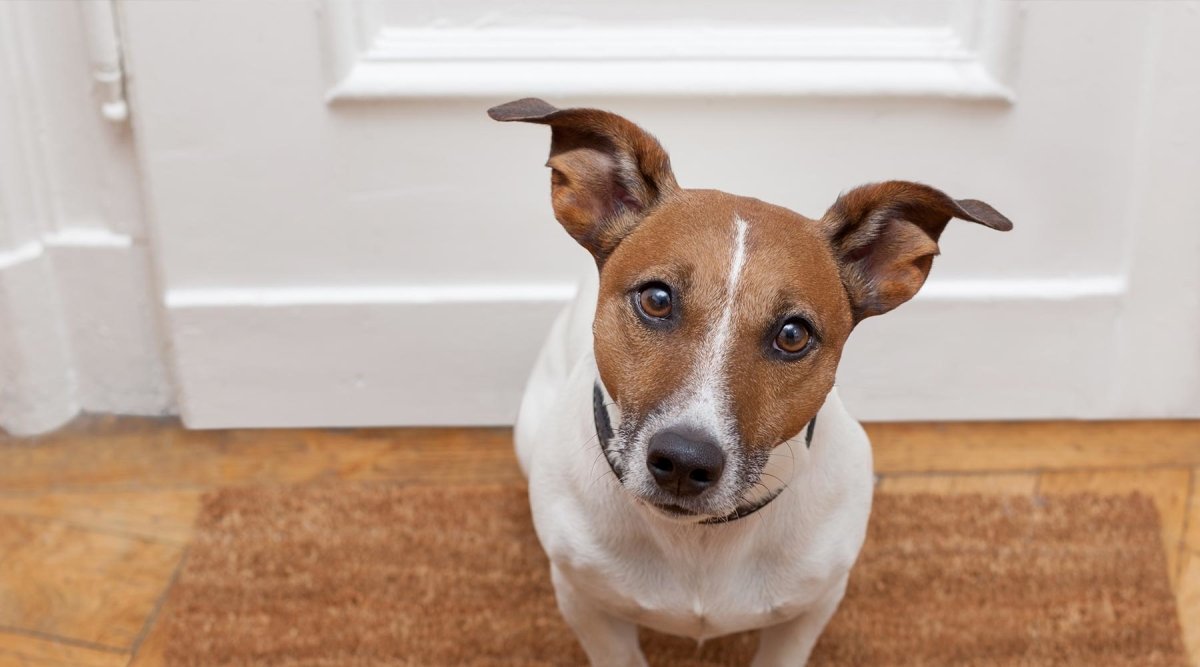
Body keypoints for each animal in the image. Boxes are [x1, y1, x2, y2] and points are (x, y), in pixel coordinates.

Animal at [489, 96, 1012, 662]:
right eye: (657, 299)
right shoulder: (586, 602)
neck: (701, 539)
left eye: (793, 334)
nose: (684, 461)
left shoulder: (812, 607)